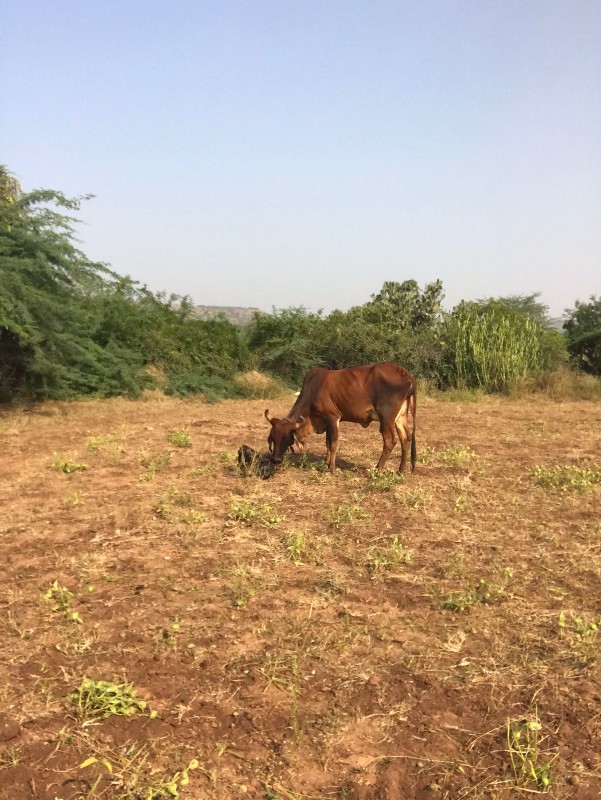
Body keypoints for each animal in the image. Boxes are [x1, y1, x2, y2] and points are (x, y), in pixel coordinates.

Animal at [264, 364, 414, 476]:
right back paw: (400, 471)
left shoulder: (333, 418)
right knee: (405, 440)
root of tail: (404, 372)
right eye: (272, 438)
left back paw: (377, 469)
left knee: (390, 442)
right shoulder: (326, 421)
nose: (275, 459)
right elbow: (327, 442)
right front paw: (326, 462)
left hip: (386, 418)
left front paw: (331, 468)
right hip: (399, 418)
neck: (314, 389)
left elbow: (333, 444)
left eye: (286, 438)